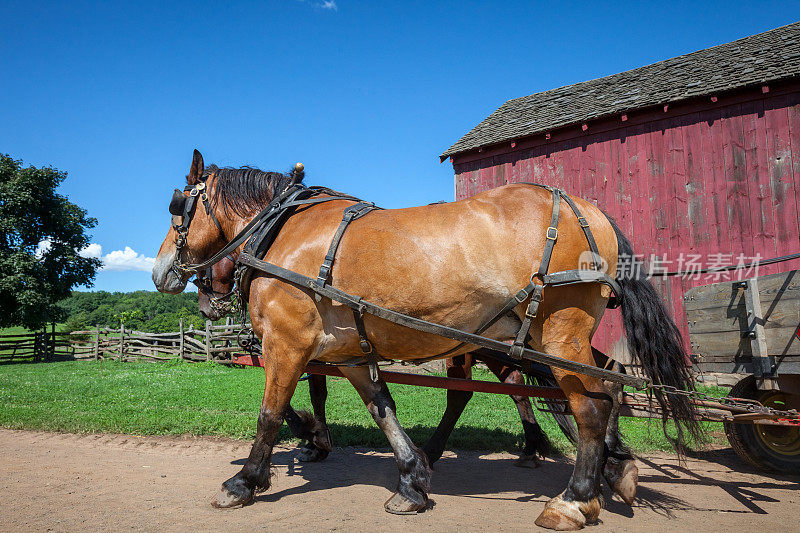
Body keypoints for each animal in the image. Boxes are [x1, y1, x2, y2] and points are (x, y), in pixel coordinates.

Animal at [153, 150, 696, 528]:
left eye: (178, 208)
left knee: (592, 405)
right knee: (597, 387)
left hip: (559, 335)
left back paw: (575, 499)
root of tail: (588, 209)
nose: (160, 271)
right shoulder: (350, 353)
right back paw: (611, 470)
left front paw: (246, 480)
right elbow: (383, 409)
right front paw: (412, 483)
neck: (281, 232)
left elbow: (270, 413)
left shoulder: (287, 344)